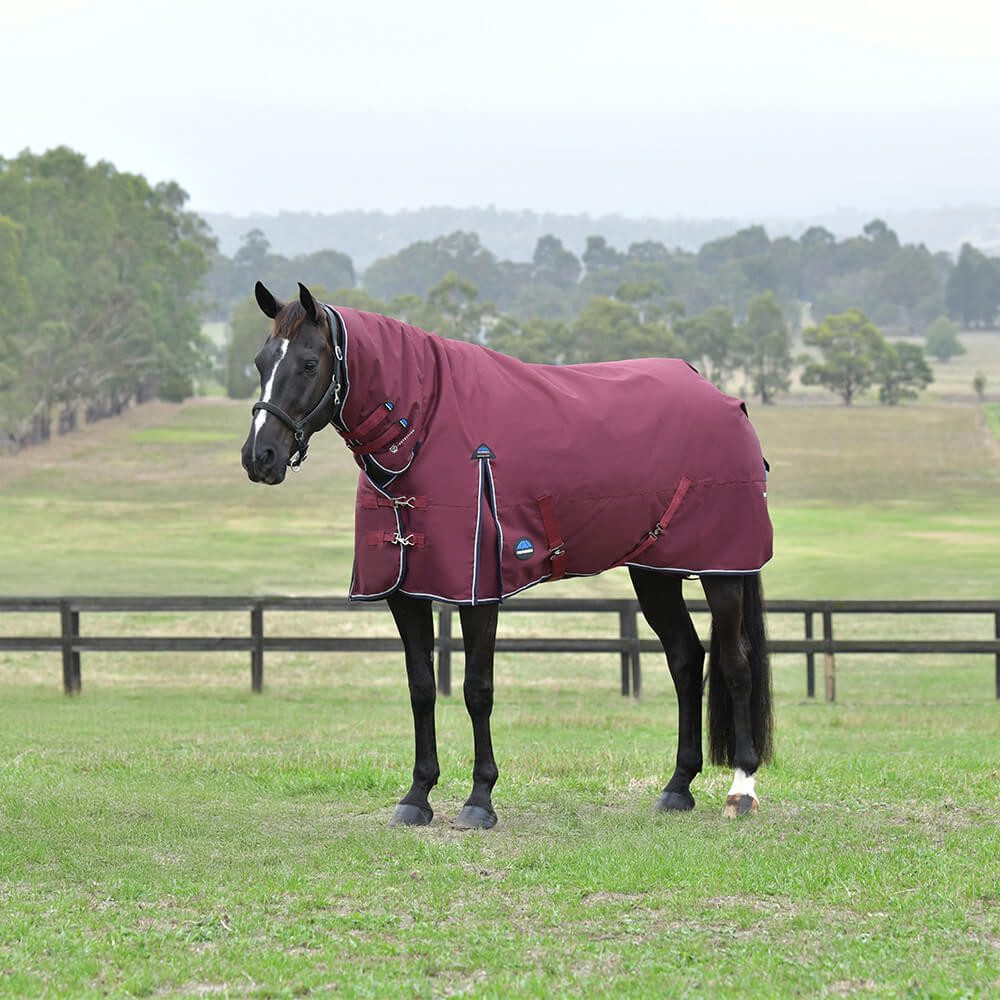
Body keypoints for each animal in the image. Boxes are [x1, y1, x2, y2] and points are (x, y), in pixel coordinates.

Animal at [241, 281, 774, 828]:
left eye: (308, 363)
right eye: (261, 361)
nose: (259, 457)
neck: (425, 427)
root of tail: (724, 398)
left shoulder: (479, 593)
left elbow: (478, 689)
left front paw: (479, 799)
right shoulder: (405, 591)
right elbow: (421, 687)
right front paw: (417, 796)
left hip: (721, 570)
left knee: (736, 665)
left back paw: (742, 789)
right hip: (654, 572)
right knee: (686, 660)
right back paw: (677, 788)